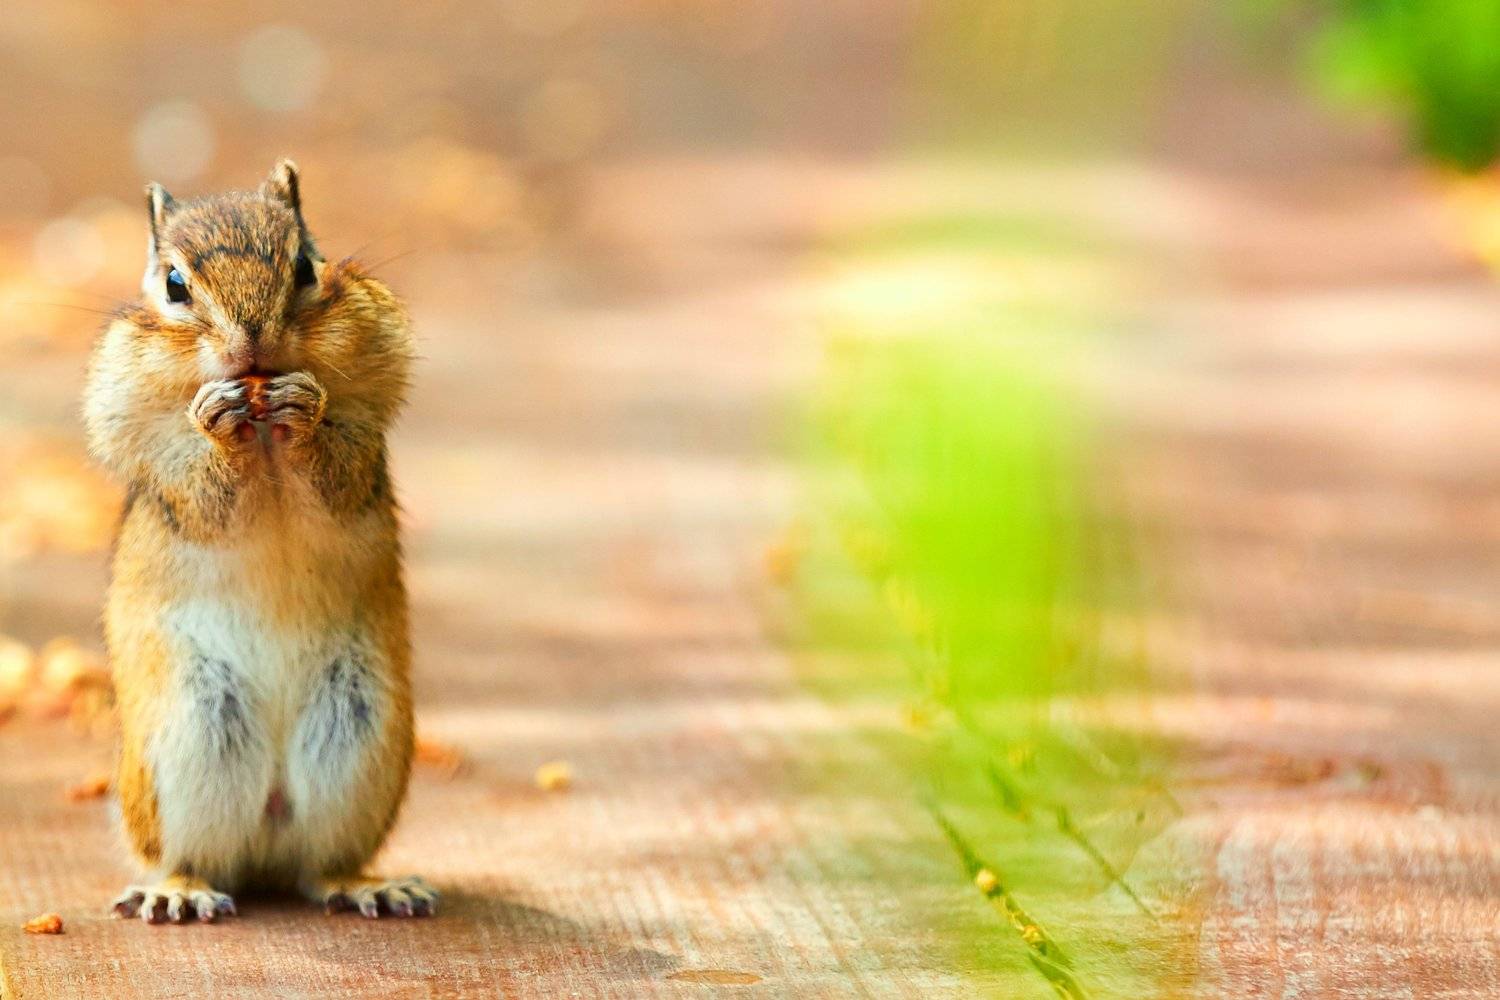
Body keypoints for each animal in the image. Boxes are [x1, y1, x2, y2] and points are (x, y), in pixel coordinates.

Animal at [82, 160, 434, 923]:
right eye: (174, 284)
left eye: (305, 266)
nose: (252, 347)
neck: (263, 439)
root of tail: (265, 848)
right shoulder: (165, 466)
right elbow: (204, 492)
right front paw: (219, 425)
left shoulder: (364, 442)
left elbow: (337, 473)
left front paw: (304, 411)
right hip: (193, 727)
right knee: (193, 855)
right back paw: (180, 891)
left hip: (360, 734)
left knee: (321, 864)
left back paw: (366, 884)